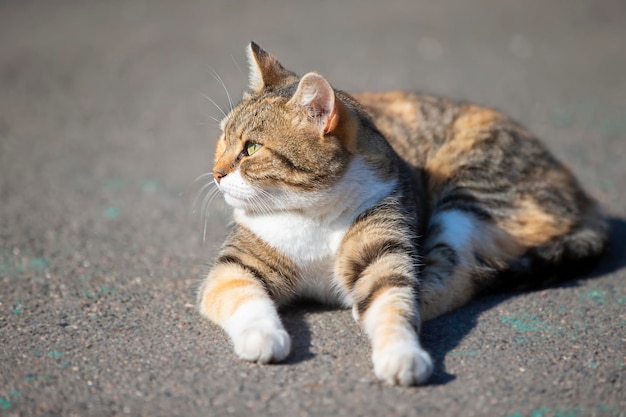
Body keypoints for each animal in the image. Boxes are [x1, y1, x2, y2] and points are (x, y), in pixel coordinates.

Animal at [197, 40, 608, 386]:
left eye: (251, 148)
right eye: (222, 138)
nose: (216, 173)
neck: (312, 214)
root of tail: (584, 196)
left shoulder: (384, 245)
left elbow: (392, 301)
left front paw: (402, 354)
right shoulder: (237, 265)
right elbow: (244, 298)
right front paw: (263, 336)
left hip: (467, 190)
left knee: (460, 275)